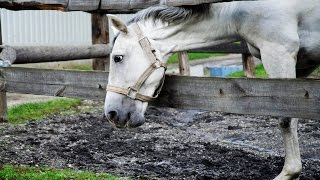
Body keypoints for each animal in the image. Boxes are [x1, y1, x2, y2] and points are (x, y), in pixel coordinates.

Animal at [105, 0, 320, 179]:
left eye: (117, 57)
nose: (111, 113)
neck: (237, 7)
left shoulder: (279, 52)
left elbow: (286, 119)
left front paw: (290, 172)